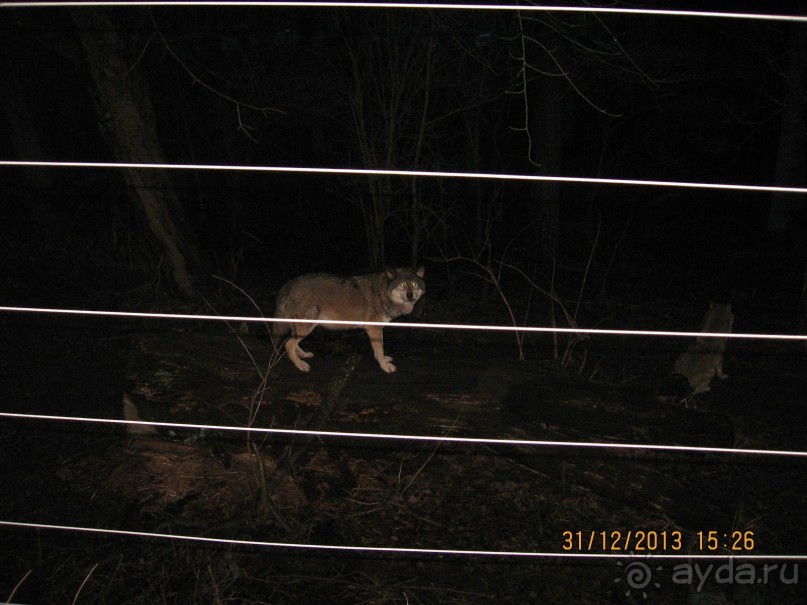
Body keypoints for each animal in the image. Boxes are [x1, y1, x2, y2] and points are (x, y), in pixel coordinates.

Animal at [274, 266, 426, 370]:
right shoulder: (373, 329)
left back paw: (303, 355)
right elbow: (379, 350)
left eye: (414, 284)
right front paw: (385, 366)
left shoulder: (378, 329)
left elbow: (381, 347)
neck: (382, 293)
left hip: (306, 326)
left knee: (292, 342)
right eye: (402, 285)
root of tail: (290, 284)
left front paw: (385, 359)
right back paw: (300, 365)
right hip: (308, 326)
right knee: (288, 344)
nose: (410, 295)